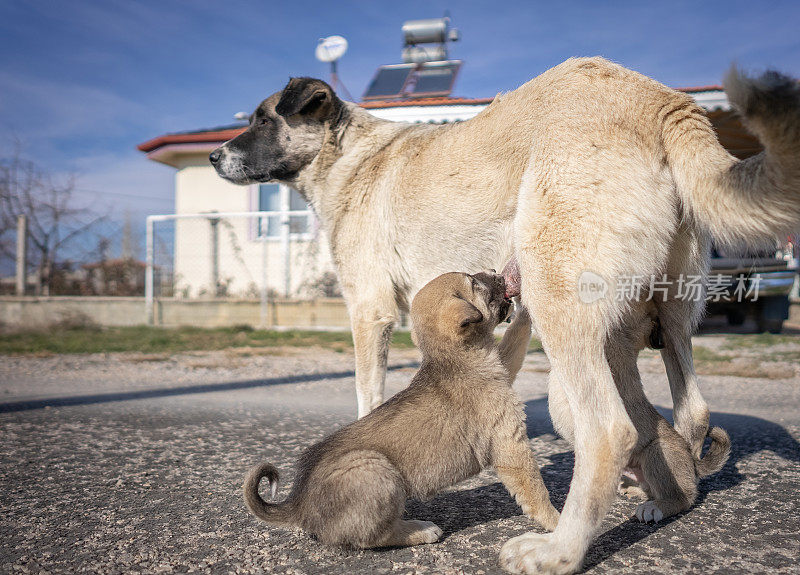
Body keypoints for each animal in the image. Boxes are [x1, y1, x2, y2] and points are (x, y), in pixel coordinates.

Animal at [245, 272, 564, 548]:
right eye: (475, 282)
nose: (500, 273)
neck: (455, 359)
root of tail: (298, 503)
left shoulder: (505, 363)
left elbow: (516, 336)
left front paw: (528, 307)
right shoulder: (510, 445)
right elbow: (536, 491)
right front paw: (558, 523)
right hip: (376, 470)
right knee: (373, 536)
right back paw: (419, 530)